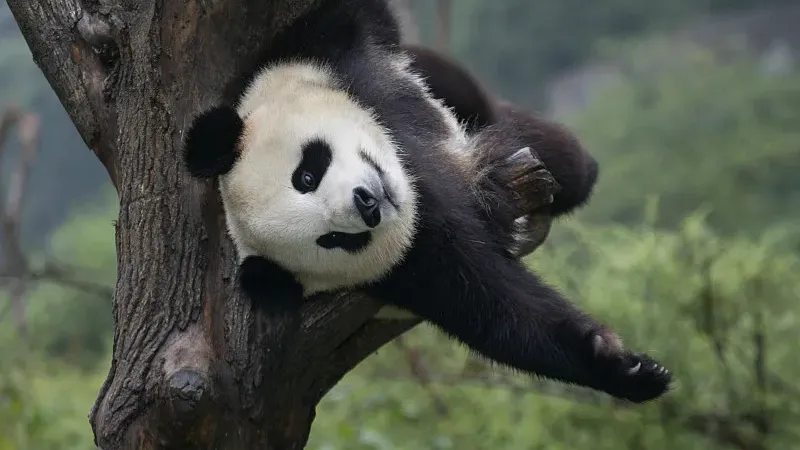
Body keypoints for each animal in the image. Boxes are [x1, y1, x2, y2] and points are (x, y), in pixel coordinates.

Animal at [182, 0, 672, 403]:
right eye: (334, 239)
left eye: (306, 174)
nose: (368, 204)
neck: (411, 177)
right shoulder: (409, 264)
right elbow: (497, 310)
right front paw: (622, 369)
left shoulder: (319, 55)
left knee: (548, 150)